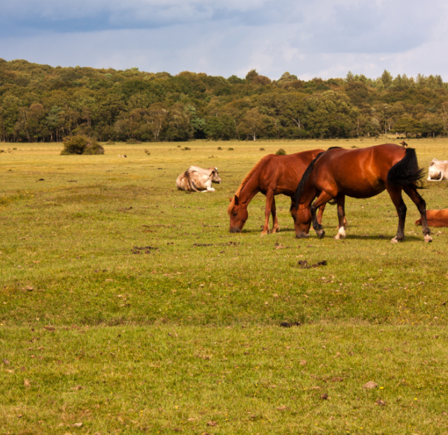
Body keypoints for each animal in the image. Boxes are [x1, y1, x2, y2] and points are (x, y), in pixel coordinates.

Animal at [288, 145, 432, 244]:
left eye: (294, 215)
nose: (299, 235)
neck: (319, 166)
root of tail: (404, 150)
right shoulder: (340, 194)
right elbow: (340, 213)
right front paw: (340, 234)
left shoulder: (329, 192)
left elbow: (312, 207)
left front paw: (319, 230)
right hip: (408, 186)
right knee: (420, 204)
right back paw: (426, 235)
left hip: (394, 188)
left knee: (402, 209)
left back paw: (398, 237)